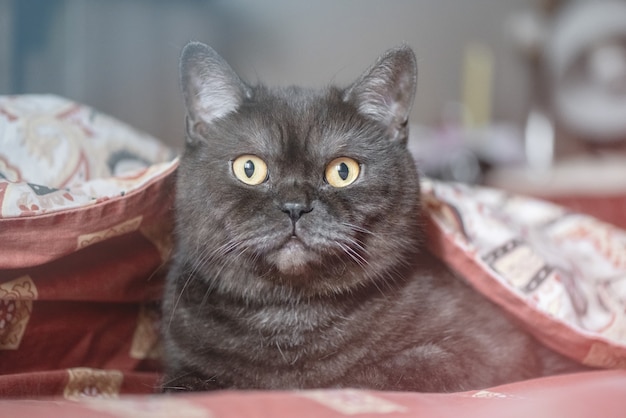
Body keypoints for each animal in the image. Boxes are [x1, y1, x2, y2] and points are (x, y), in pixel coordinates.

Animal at [161, 41, 580, 392]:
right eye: (249, 168)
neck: (290, 317)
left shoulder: (484, 350)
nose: (295, 205)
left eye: (343, 171)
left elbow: (368, 376)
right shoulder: (181, 369)